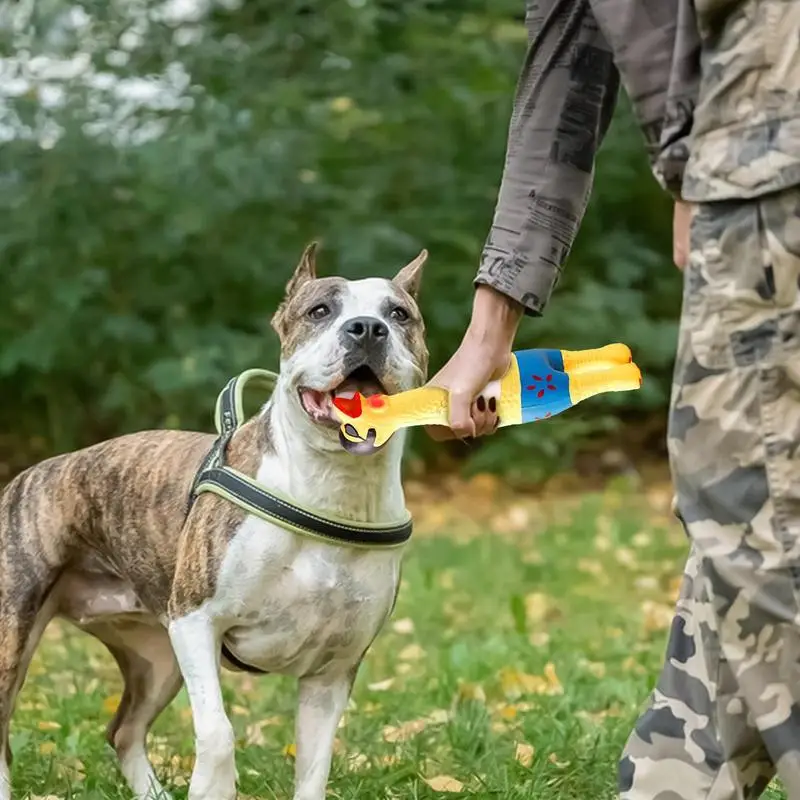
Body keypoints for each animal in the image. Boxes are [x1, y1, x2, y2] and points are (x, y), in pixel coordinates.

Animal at [0, 245, 432, 800]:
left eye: (398, 315)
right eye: (320, 311)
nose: (367, 329)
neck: (334, 488)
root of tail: (31, 472)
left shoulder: (332, 672)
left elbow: (314, 766)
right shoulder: (195, 622)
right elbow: (218, 731)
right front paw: (213, 786)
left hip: (156, 654)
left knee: (124, 731)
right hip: (20, 632)